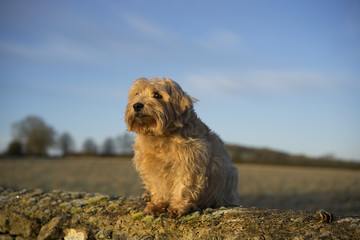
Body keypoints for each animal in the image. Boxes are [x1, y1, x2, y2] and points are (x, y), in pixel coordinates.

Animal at [124, 77, 239, 218]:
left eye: (157, 95)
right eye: (137, 94)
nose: (136, 105)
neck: (161, 136)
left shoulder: (189, 164)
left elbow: (183, 187)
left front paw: (177, 207)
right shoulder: (151, 167)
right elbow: (156, 187)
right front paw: (156, 205)